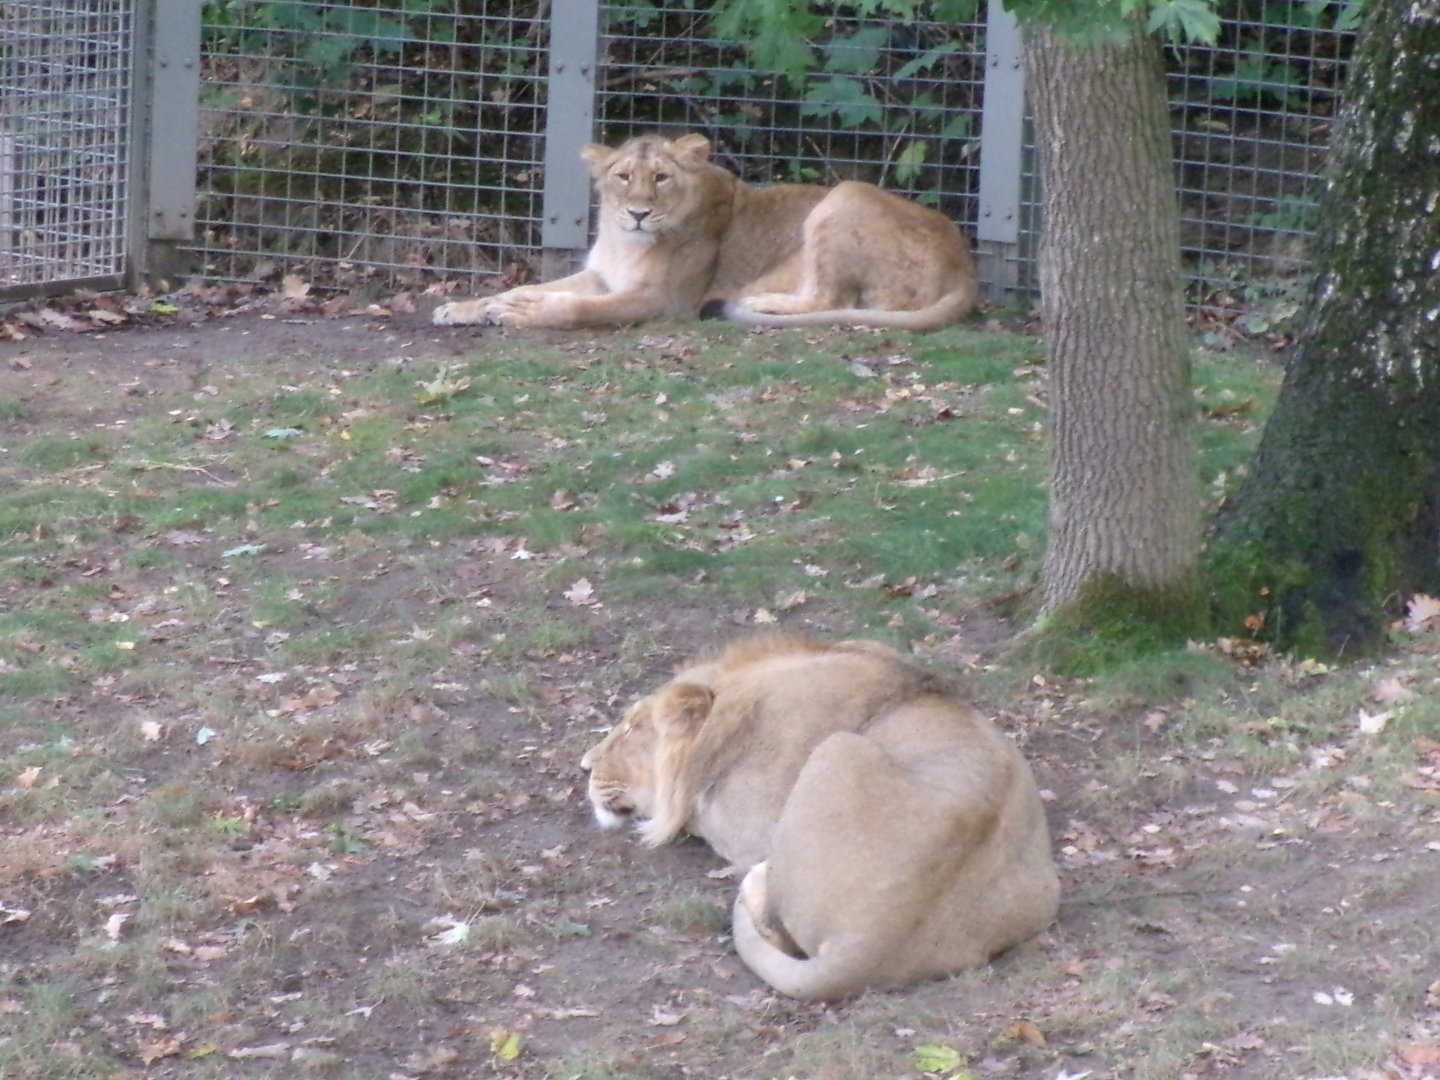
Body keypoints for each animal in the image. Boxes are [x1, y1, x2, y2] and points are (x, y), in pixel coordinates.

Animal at [432, 133, 977, 332]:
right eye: (623, 177)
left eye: (661, 177)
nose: (638, 213)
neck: (623, 240)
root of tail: (966, 268)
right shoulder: (604, 276)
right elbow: (538, 286)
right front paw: (468, 307)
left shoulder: (663, 300)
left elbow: (576, 308)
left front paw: (522, 313)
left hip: (844, 195)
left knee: (831, 298)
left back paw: (760, 303)